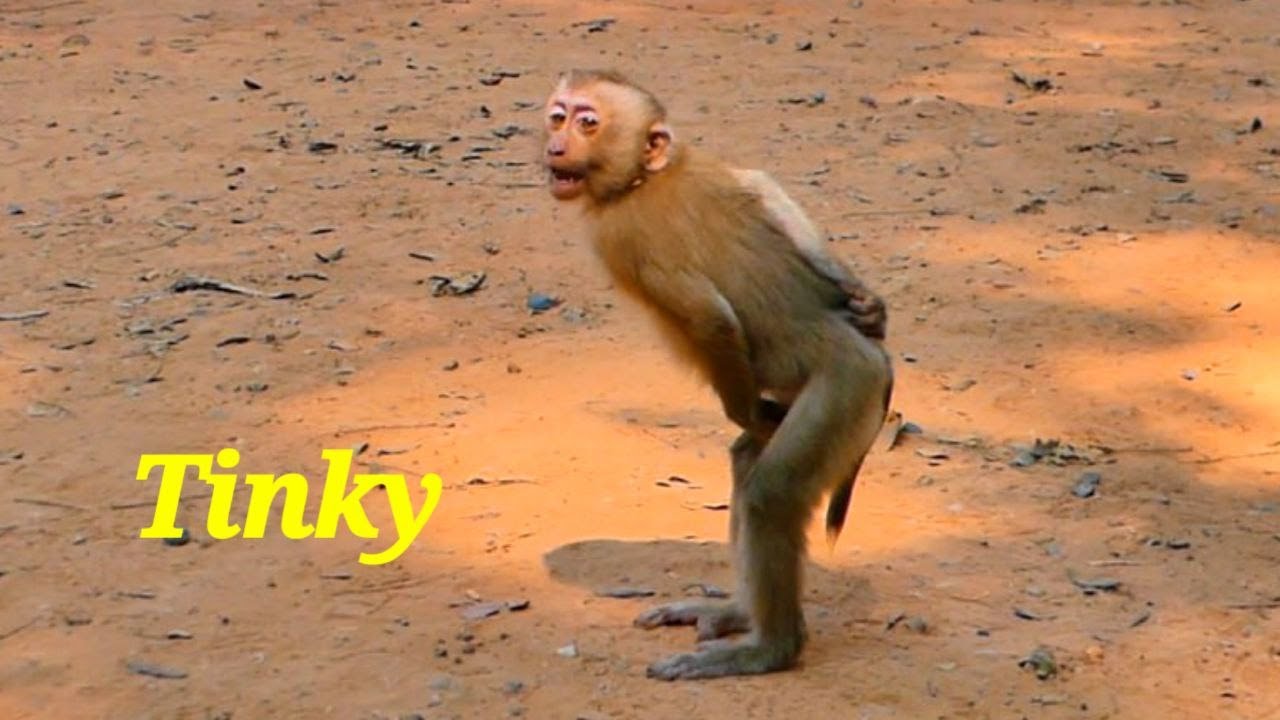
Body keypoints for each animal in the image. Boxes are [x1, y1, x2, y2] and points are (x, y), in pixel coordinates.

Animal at [541, 69, 893, 680]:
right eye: (558, 116)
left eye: (588, 122)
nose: (556, 145)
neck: (647, 176)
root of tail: (875, 364)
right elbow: (764, 187)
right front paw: (866, 300)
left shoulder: (620, 236)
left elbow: (711, 318)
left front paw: (743, 410)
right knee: (750, 463)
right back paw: (739, 612)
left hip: (846, 386)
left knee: (771, 493)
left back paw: (768, 647)